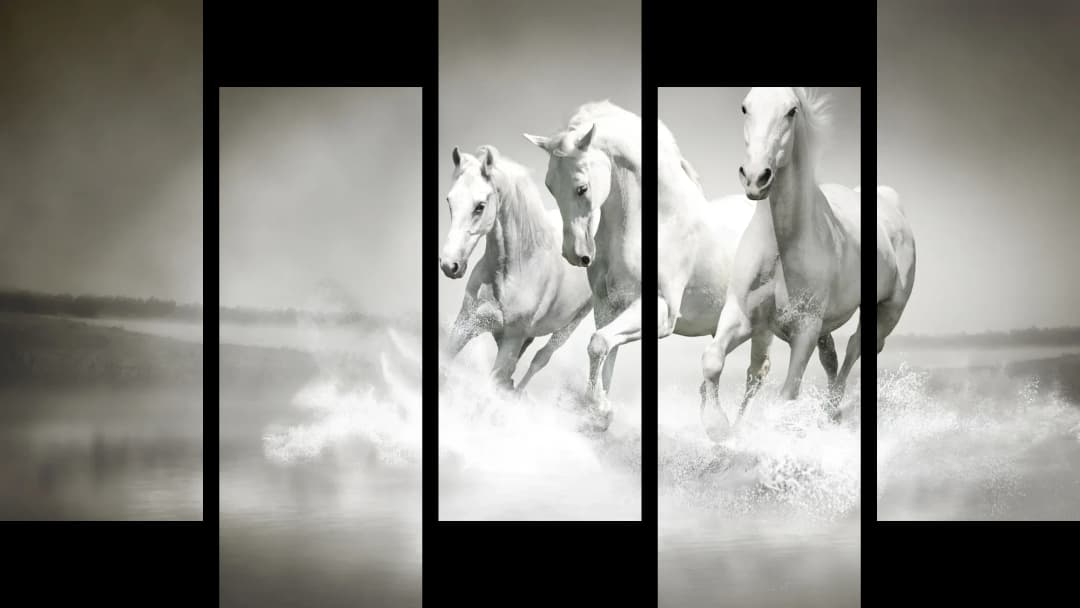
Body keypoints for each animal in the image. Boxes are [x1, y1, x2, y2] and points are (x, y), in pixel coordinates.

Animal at [439, 145, 593, 391]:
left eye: (480, 206)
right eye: (449, 201)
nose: (449, 265)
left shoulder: (511, 339)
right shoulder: (466, 324)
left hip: (570, 324)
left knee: (540, 359)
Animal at [700, 87, 863, 441]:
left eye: (791, 111)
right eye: (745, 107)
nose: (755, 178)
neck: (781, 246)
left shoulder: (806, 328)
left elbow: (787, 393)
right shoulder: (743, 315)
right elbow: (713, 360)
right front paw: (717, 425)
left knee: (848, 355)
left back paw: (832, 414)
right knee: (813, 363)